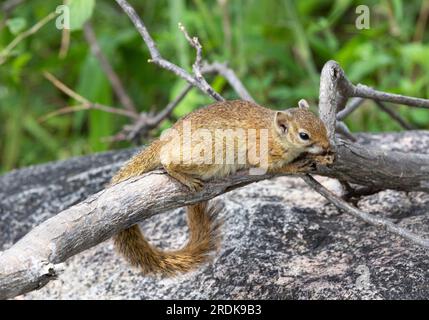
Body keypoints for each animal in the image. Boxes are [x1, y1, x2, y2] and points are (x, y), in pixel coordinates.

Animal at [109, 99, 332, 276]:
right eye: (304, 135)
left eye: (322, 125)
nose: (327, 146)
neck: (274, 133)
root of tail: (165, 141)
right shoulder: (262, 155)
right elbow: (275, 167)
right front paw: (296, 165)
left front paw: (325, 157)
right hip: (205, 153)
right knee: (167, 160)